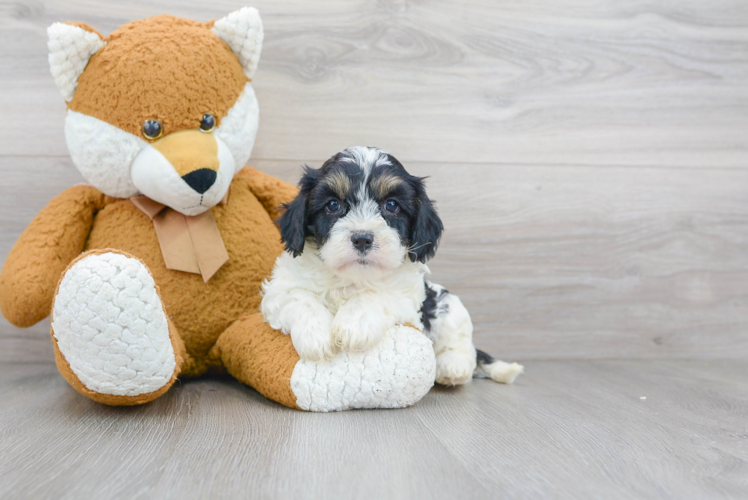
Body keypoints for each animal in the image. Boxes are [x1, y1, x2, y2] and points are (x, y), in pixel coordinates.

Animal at [260, 146, 524, 384]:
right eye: (333, 205)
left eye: (392, 205)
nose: (362, 238)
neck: (353, 278)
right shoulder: (279, 289)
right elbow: (299, 298)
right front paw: (316, 336)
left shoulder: (408, 296)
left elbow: (377, 294)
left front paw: (354, 324)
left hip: (448, 305)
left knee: (462, 346)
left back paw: (451, 367)